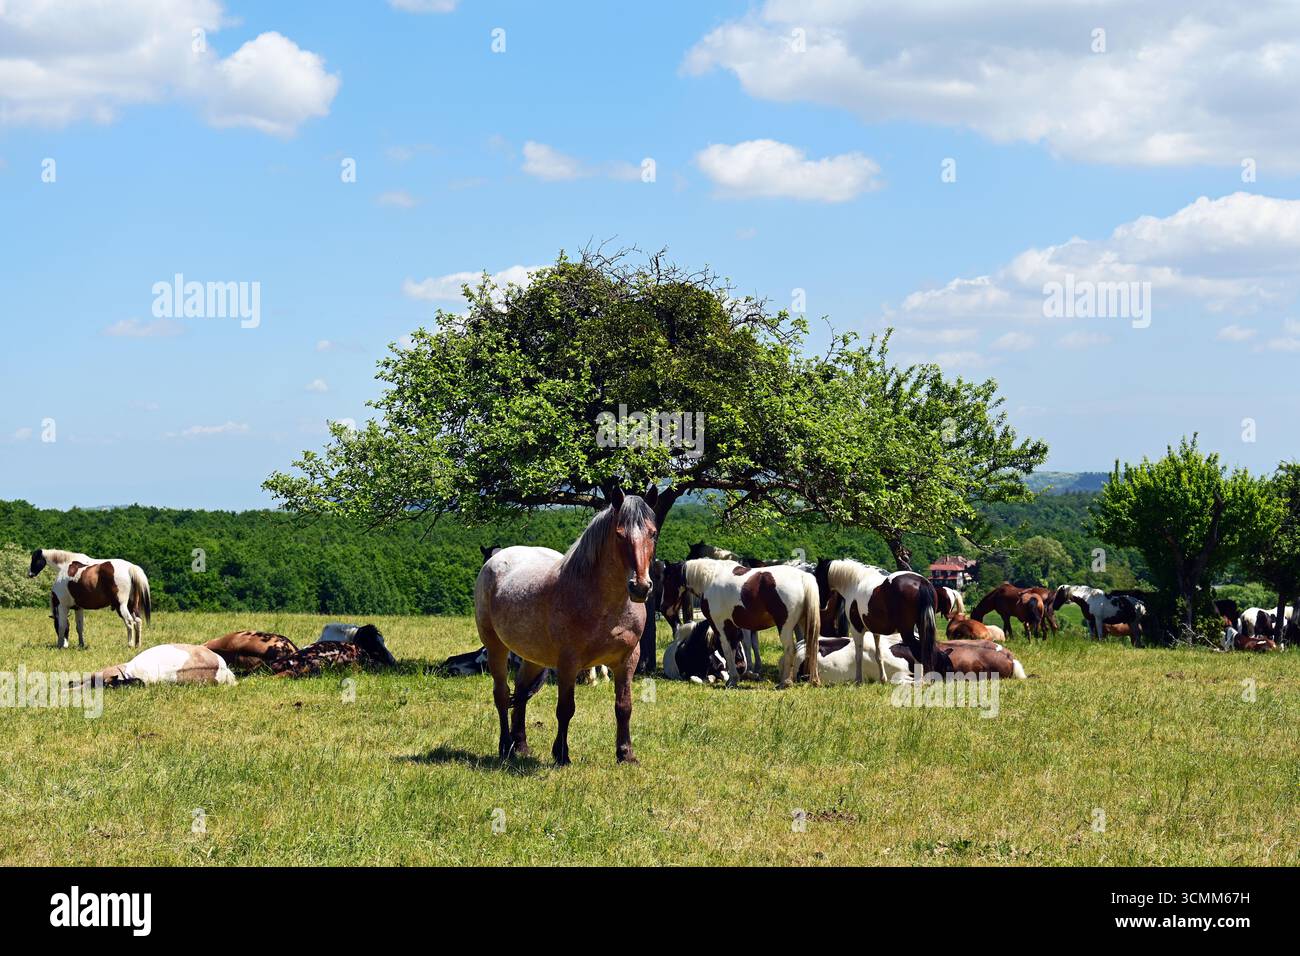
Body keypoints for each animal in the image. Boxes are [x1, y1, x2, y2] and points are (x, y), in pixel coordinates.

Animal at [475, 485, 658, 764]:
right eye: (619, 535)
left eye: (653, 533)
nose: (640, 587)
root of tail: (494, 560)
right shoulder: (568, 663)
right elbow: (565, 709)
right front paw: (561, 754)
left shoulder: (628, 660)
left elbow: (624, 706)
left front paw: (626, 754)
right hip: (496, 647)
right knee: (502, 694)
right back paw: (505, 746)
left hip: (534, 657)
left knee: (521, 691)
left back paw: (521, 746)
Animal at [660, 557, 820, 688]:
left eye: (666, 580)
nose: (663, 608)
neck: (710, 579)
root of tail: (803, 576)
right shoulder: (734, 628)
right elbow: (734, 648)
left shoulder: (720, 626)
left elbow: (727, 650)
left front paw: (732, 680)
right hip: (803, 623)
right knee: (810, 646)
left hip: (785, 626)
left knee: (790, 649)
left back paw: (784, 683)